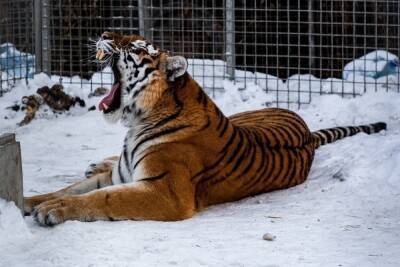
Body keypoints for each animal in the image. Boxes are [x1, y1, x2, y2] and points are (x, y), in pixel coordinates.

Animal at [23, 32, 386, 227]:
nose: (105, 35)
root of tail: (308, 132)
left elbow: (103, 198)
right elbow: (69, 189)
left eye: (136, 47)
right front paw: (28, 201)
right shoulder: (121, 174)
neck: (137, 122)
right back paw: (95, 161)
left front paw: (52, 211)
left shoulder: (164, 191)